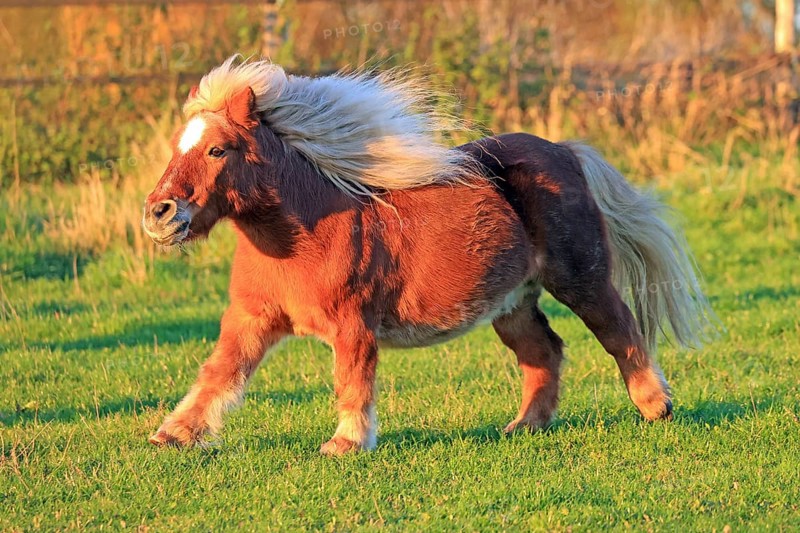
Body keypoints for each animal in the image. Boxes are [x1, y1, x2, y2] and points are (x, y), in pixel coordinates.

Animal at [142, 56, 712, 455]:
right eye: (177, 147)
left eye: (218, 150)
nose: (159, 214)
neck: (303, 237)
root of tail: (565, 151)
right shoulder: (251, 319)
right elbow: (220, 374)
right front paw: (174, 434)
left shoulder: (353, 324)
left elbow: (352, 379)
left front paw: (345, 444)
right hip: (511, 302)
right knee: (544, 351)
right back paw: (523, 426)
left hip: (580, 277)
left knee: (619, 330)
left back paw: (655, 405)